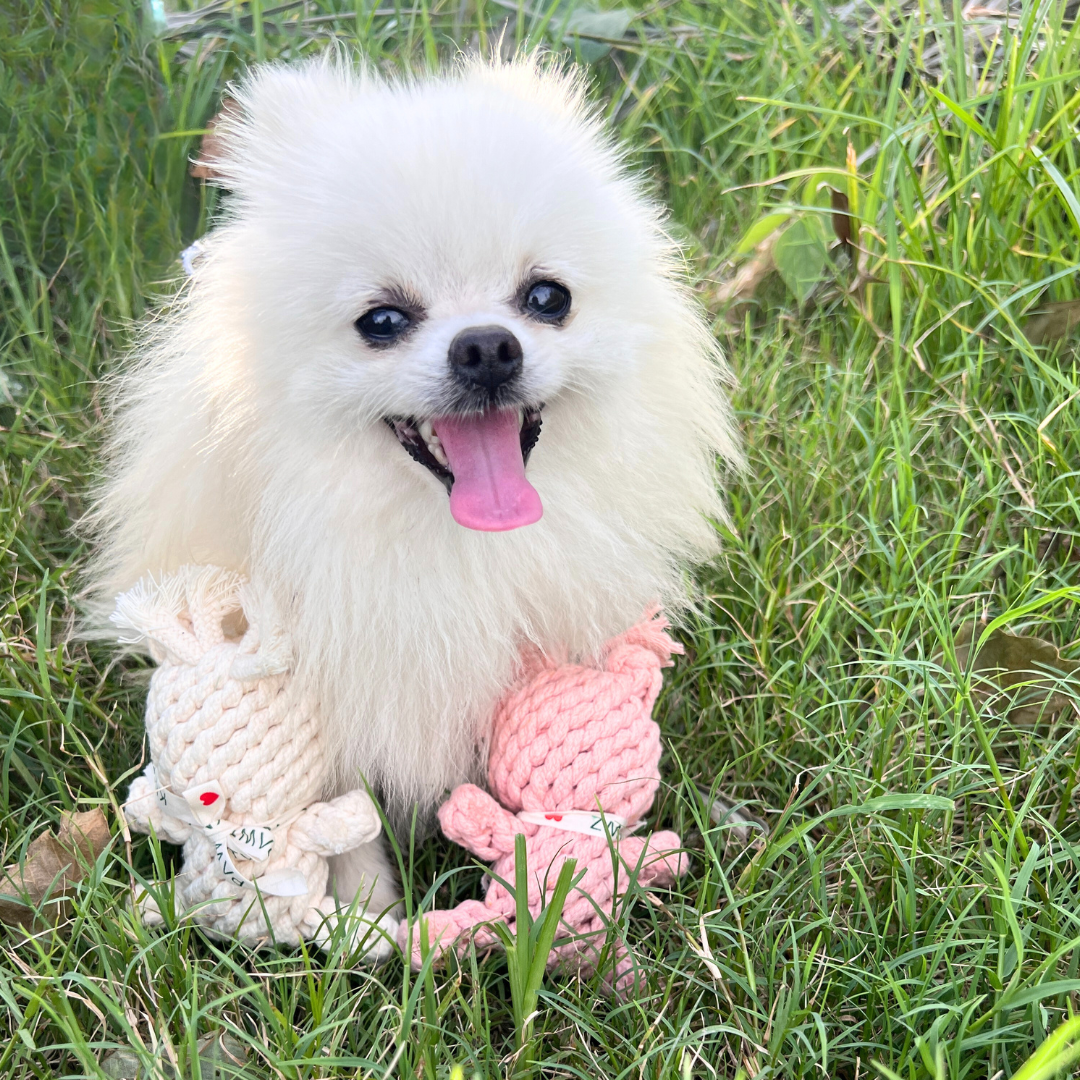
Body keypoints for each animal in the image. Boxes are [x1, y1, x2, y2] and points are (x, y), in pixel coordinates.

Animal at [88, 54, 738, 924]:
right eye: (383, 320)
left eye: (548, 298)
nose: (488, 347)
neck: (437, 539)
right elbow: (347, 812)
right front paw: (368, 915)